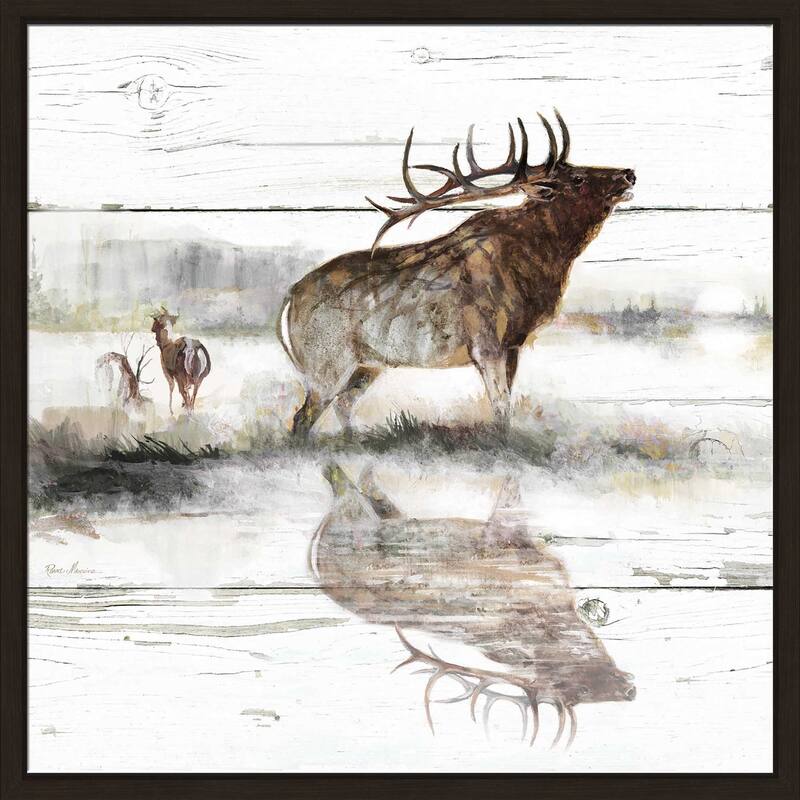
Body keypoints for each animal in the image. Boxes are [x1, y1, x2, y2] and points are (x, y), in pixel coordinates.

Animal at [279, 110, 635, 435]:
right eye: (578, 179)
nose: (629, 173)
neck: (540, 262)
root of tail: (290, 298)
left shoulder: (513, 344)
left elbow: (505, 404)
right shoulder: (486, 342)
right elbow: (501, 409)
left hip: (365, 365)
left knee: (344, 405)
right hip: (327, 361)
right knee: (302, 418)